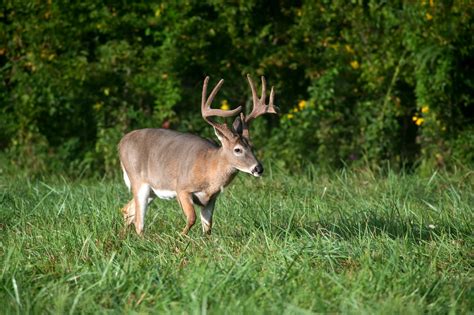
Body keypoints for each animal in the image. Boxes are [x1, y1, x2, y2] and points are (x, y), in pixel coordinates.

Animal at [118, 75, 278, 236]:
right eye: (237, 149)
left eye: (252, 146)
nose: (259, 168)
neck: (209, 169)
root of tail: (121, 143)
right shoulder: (182, 188)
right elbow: (191, 218)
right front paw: (180, 237)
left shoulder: (211, 198)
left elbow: (207, 227)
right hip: (138, 180)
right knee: (139, 222)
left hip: (152, 191)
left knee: (127, 210)